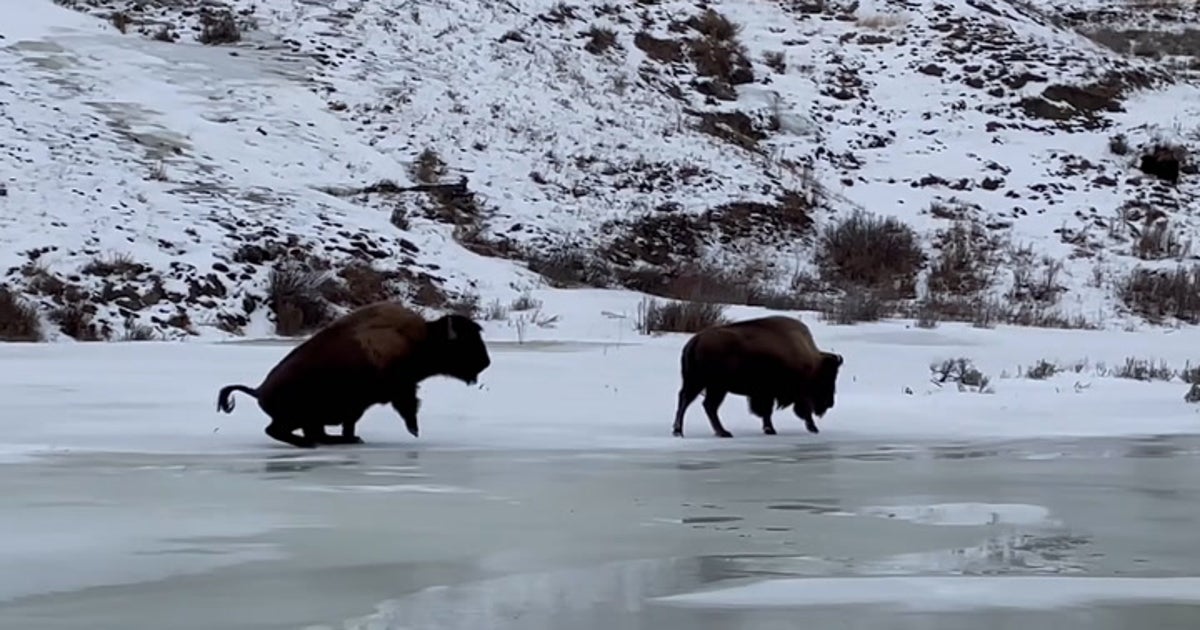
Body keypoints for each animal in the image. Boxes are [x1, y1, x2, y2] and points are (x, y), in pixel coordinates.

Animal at [217, 301, 492, 444]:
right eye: (465, 343)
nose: (486, 362)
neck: (421, 339)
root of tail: (258, 390)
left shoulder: (358, 406)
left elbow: (352, 423)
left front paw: (353, 437)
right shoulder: (399, 390)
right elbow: (407, 407)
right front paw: (414, 431)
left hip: (308, 418)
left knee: (308, 431)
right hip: (296, 416)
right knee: (277, 431)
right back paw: (309, 443)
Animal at [676, 314, 844, 436]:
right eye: (828, 376)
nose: (830, 403)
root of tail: (696, 340)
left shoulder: (766, 394)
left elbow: (766, 412)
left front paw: (769, 429)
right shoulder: (792, 393)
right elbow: (799, 411)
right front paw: (811, 428)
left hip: (699, 383)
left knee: (691, 401)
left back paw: (681, 431)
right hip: (714, 386)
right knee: (706, 405)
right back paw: (722, 432)